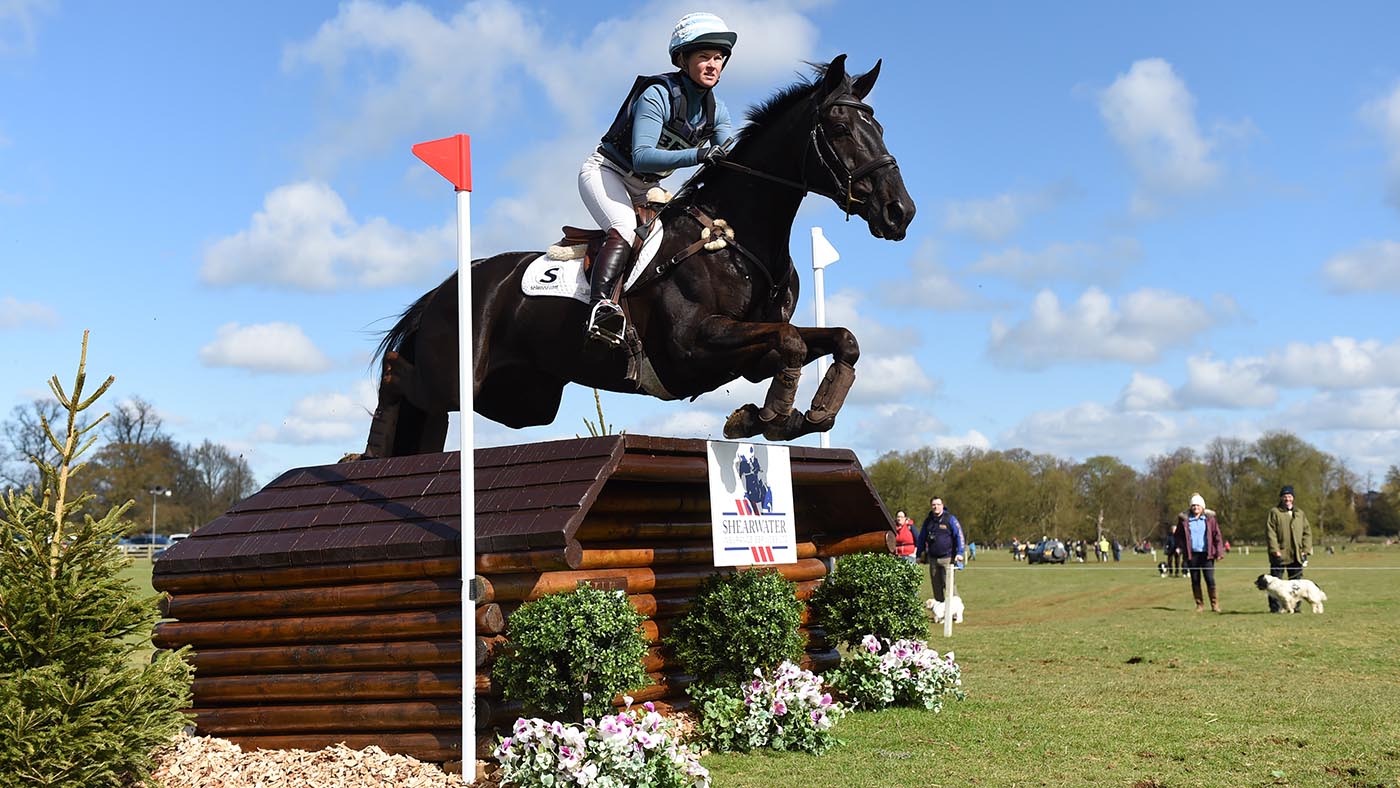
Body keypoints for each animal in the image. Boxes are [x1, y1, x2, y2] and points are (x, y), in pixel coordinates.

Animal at [361, 55, 918, 459]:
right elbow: (793, 345)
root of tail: (445, 287)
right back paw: (365, 453)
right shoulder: (692, 346)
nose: (900, 212)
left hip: (522, 400)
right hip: (458, 376)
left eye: (881, 129)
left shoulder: (751, 355)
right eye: (840, 129)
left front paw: (797, 415)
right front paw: (772, 418)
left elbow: (836, 340)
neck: (738, 238)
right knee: (398, 373)